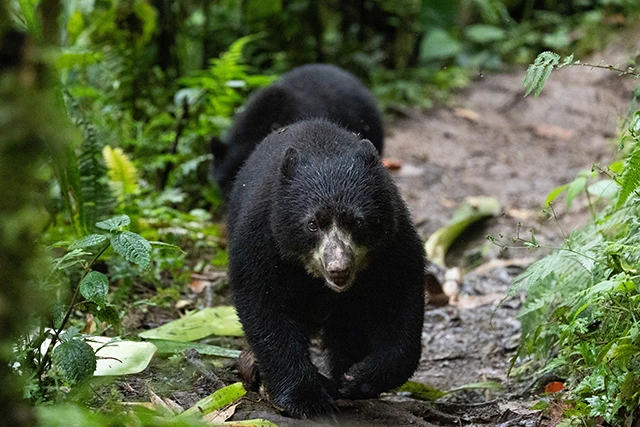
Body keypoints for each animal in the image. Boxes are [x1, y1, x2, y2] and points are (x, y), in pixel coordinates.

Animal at [226, 119, 425, 419]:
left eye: (357, 222)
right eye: (312, 224)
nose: (338, 269)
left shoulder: (393, 243)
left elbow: (401, 299)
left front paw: (356, 378)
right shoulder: (262, 239)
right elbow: (264, 305)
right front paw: (306, 398)